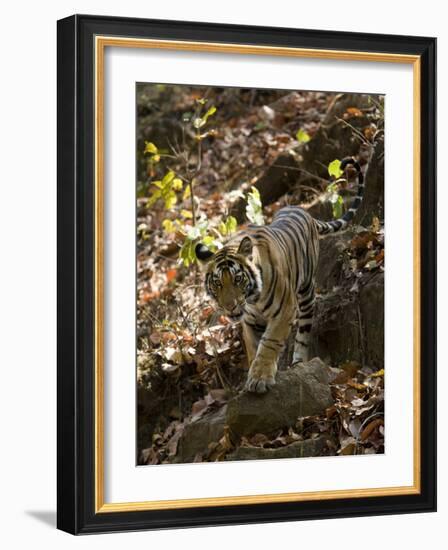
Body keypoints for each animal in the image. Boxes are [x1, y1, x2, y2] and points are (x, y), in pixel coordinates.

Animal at [195, 157, 364, 394]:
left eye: (237, 279)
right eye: (218, 283)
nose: (229, 307)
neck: (252, 299)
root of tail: (303, 210)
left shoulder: (285, 310)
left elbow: (269, 343)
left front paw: (260, 378)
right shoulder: (249, 322)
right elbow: (253, 348)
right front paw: (255, 372)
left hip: (305, 294)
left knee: (303, 332)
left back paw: (298, 361)